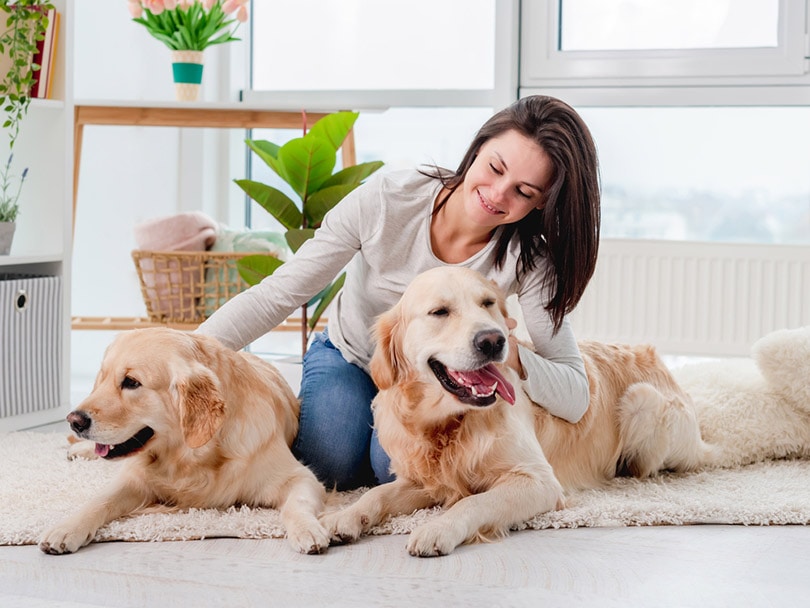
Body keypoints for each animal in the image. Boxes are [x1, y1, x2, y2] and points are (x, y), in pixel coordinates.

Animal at [38, 328, 328, 556]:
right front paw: (66, 528)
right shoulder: (134, 478)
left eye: (131, 382)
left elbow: (297, 504)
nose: (74, 420)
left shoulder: (299, 477)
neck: (190, 456)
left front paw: (308, 529)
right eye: (103, 378)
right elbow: (100, 500)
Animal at [318, 266, 716, 556]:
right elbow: (377, 494)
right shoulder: (427, 480)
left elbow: (475, 502)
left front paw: (437, 528)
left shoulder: (538, 481)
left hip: (641, 398)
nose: (493, 340)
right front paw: (343, 517)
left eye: (488, 303)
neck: (451, 424)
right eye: (439, 312)